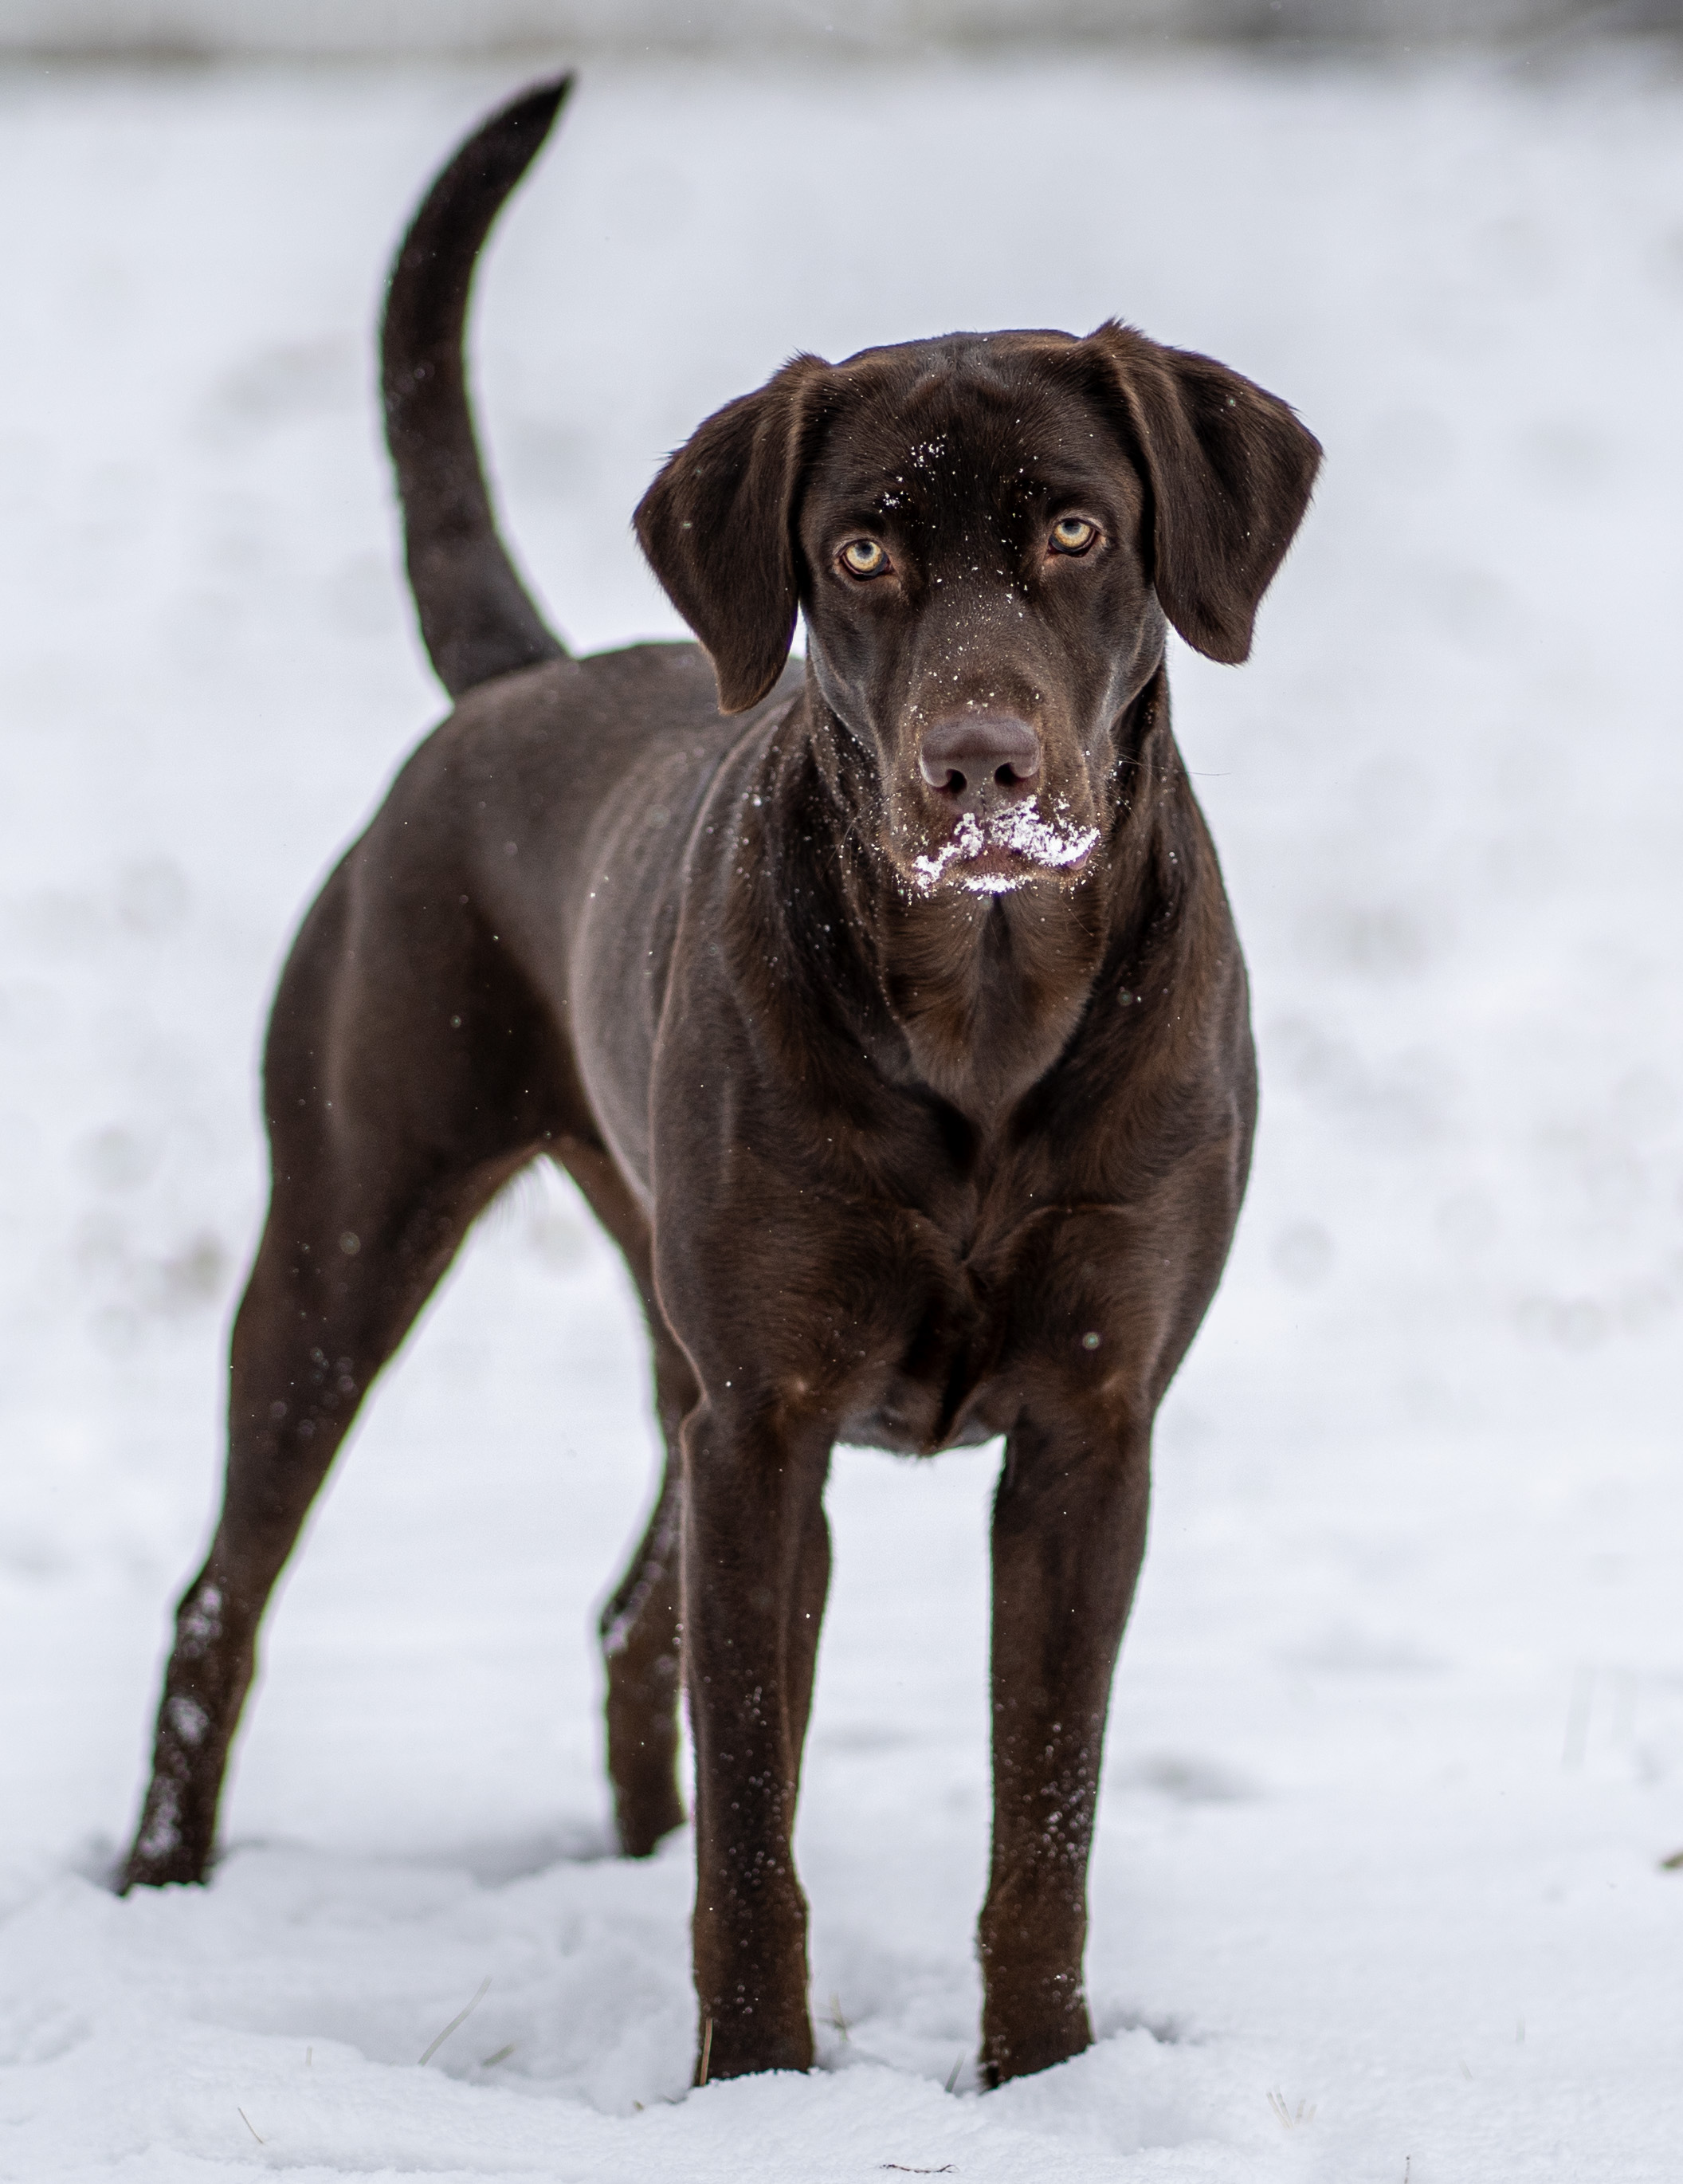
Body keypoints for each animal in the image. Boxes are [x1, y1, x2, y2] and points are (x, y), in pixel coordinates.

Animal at [124, 77, 1327, 2088]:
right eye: (859, 552)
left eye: (1080, 529)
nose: (980, 767)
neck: (980, 1006)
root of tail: (510, 685)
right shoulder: (767, 1418)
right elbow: (760, 1802)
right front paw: (759, 2084)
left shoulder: (1089, 1428)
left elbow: (1048, 1804)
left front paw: (1039, 2070)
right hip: (349, 1230)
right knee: (227, 1591)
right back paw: (156, 1880)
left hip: (656, 1331)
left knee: (632, 1621)